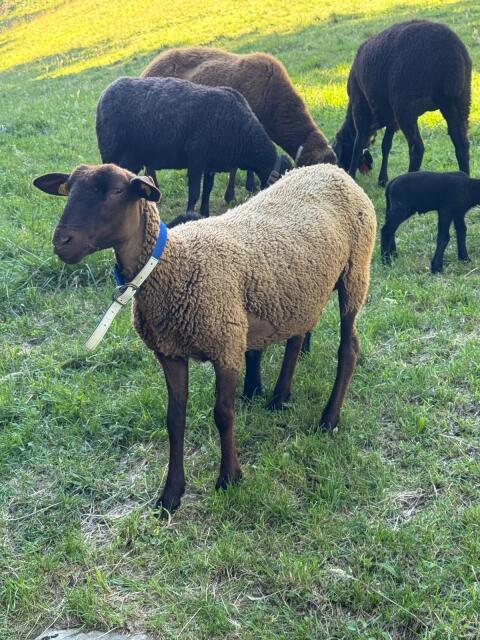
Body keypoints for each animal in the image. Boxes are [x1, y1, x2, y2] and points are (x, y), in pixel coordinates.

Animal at [33, 162, 376, 513]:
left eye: (117, 191)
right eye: (68, 190)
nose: (62, 242)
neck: (173, 264)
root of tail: (332, 169)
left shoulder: (226, 345)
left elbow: (223, 415)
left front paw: (230, 478)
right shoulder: (169, 353)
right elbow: (174, 419)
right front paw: (171, 494)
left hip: (355, 272)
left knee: (349, 348)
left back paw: (329, 419)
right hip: (300, 294)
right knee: (297, 336)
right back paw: (280, 397)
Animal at [96, 76, 292, 216]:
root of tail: (105, 93)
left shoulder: (211, 164)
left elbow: (207, 190)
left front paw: (204, 213)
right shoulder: (197, 159)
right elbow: (195, 192)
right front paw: (191, 213)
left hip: (133, 159)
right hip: (111, 154)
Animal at [333, 20, 471, 186]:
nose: (343, 169)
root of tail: (450, 52)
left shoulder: (360, 105)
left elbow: (358, 143)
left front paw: (352, 175)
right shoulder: (392, 119)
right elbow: (386, 145)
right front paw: (382, 179)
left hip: (405, 105)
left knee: (416, 148)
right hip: (459, 101)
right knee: (462, 144)